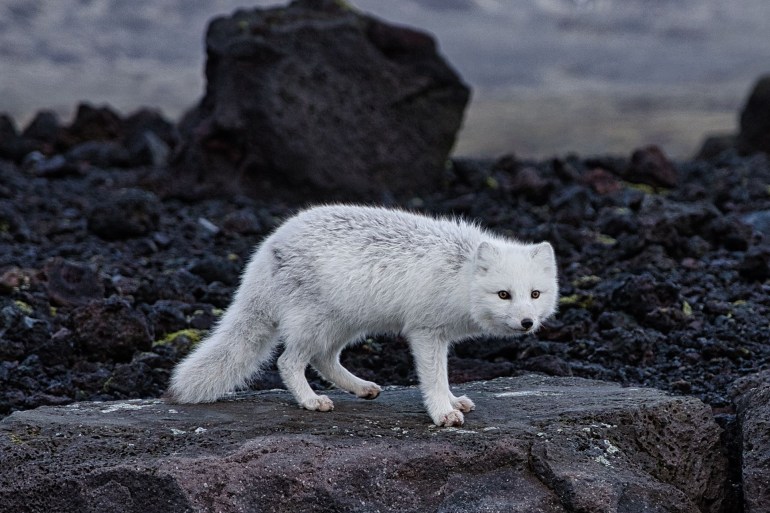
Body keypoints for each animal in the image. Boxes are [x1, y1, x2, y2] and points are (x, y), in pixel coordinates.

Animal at [168, 203, 556, 424]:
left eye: (535, 294)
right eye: (504, 294)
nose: (527, 323)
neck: (459, 274)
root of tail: (267, 247)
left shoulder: (440, 336)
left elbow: (444, 378)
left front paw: (452, 401)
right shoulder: (425, 332)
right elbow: (433, 378)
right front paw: (442, 413)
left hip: (344, 325)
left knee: (323, 360)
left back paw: (361, 388)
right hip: (316, 324)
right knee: (288, 362)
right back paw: (311, 401)